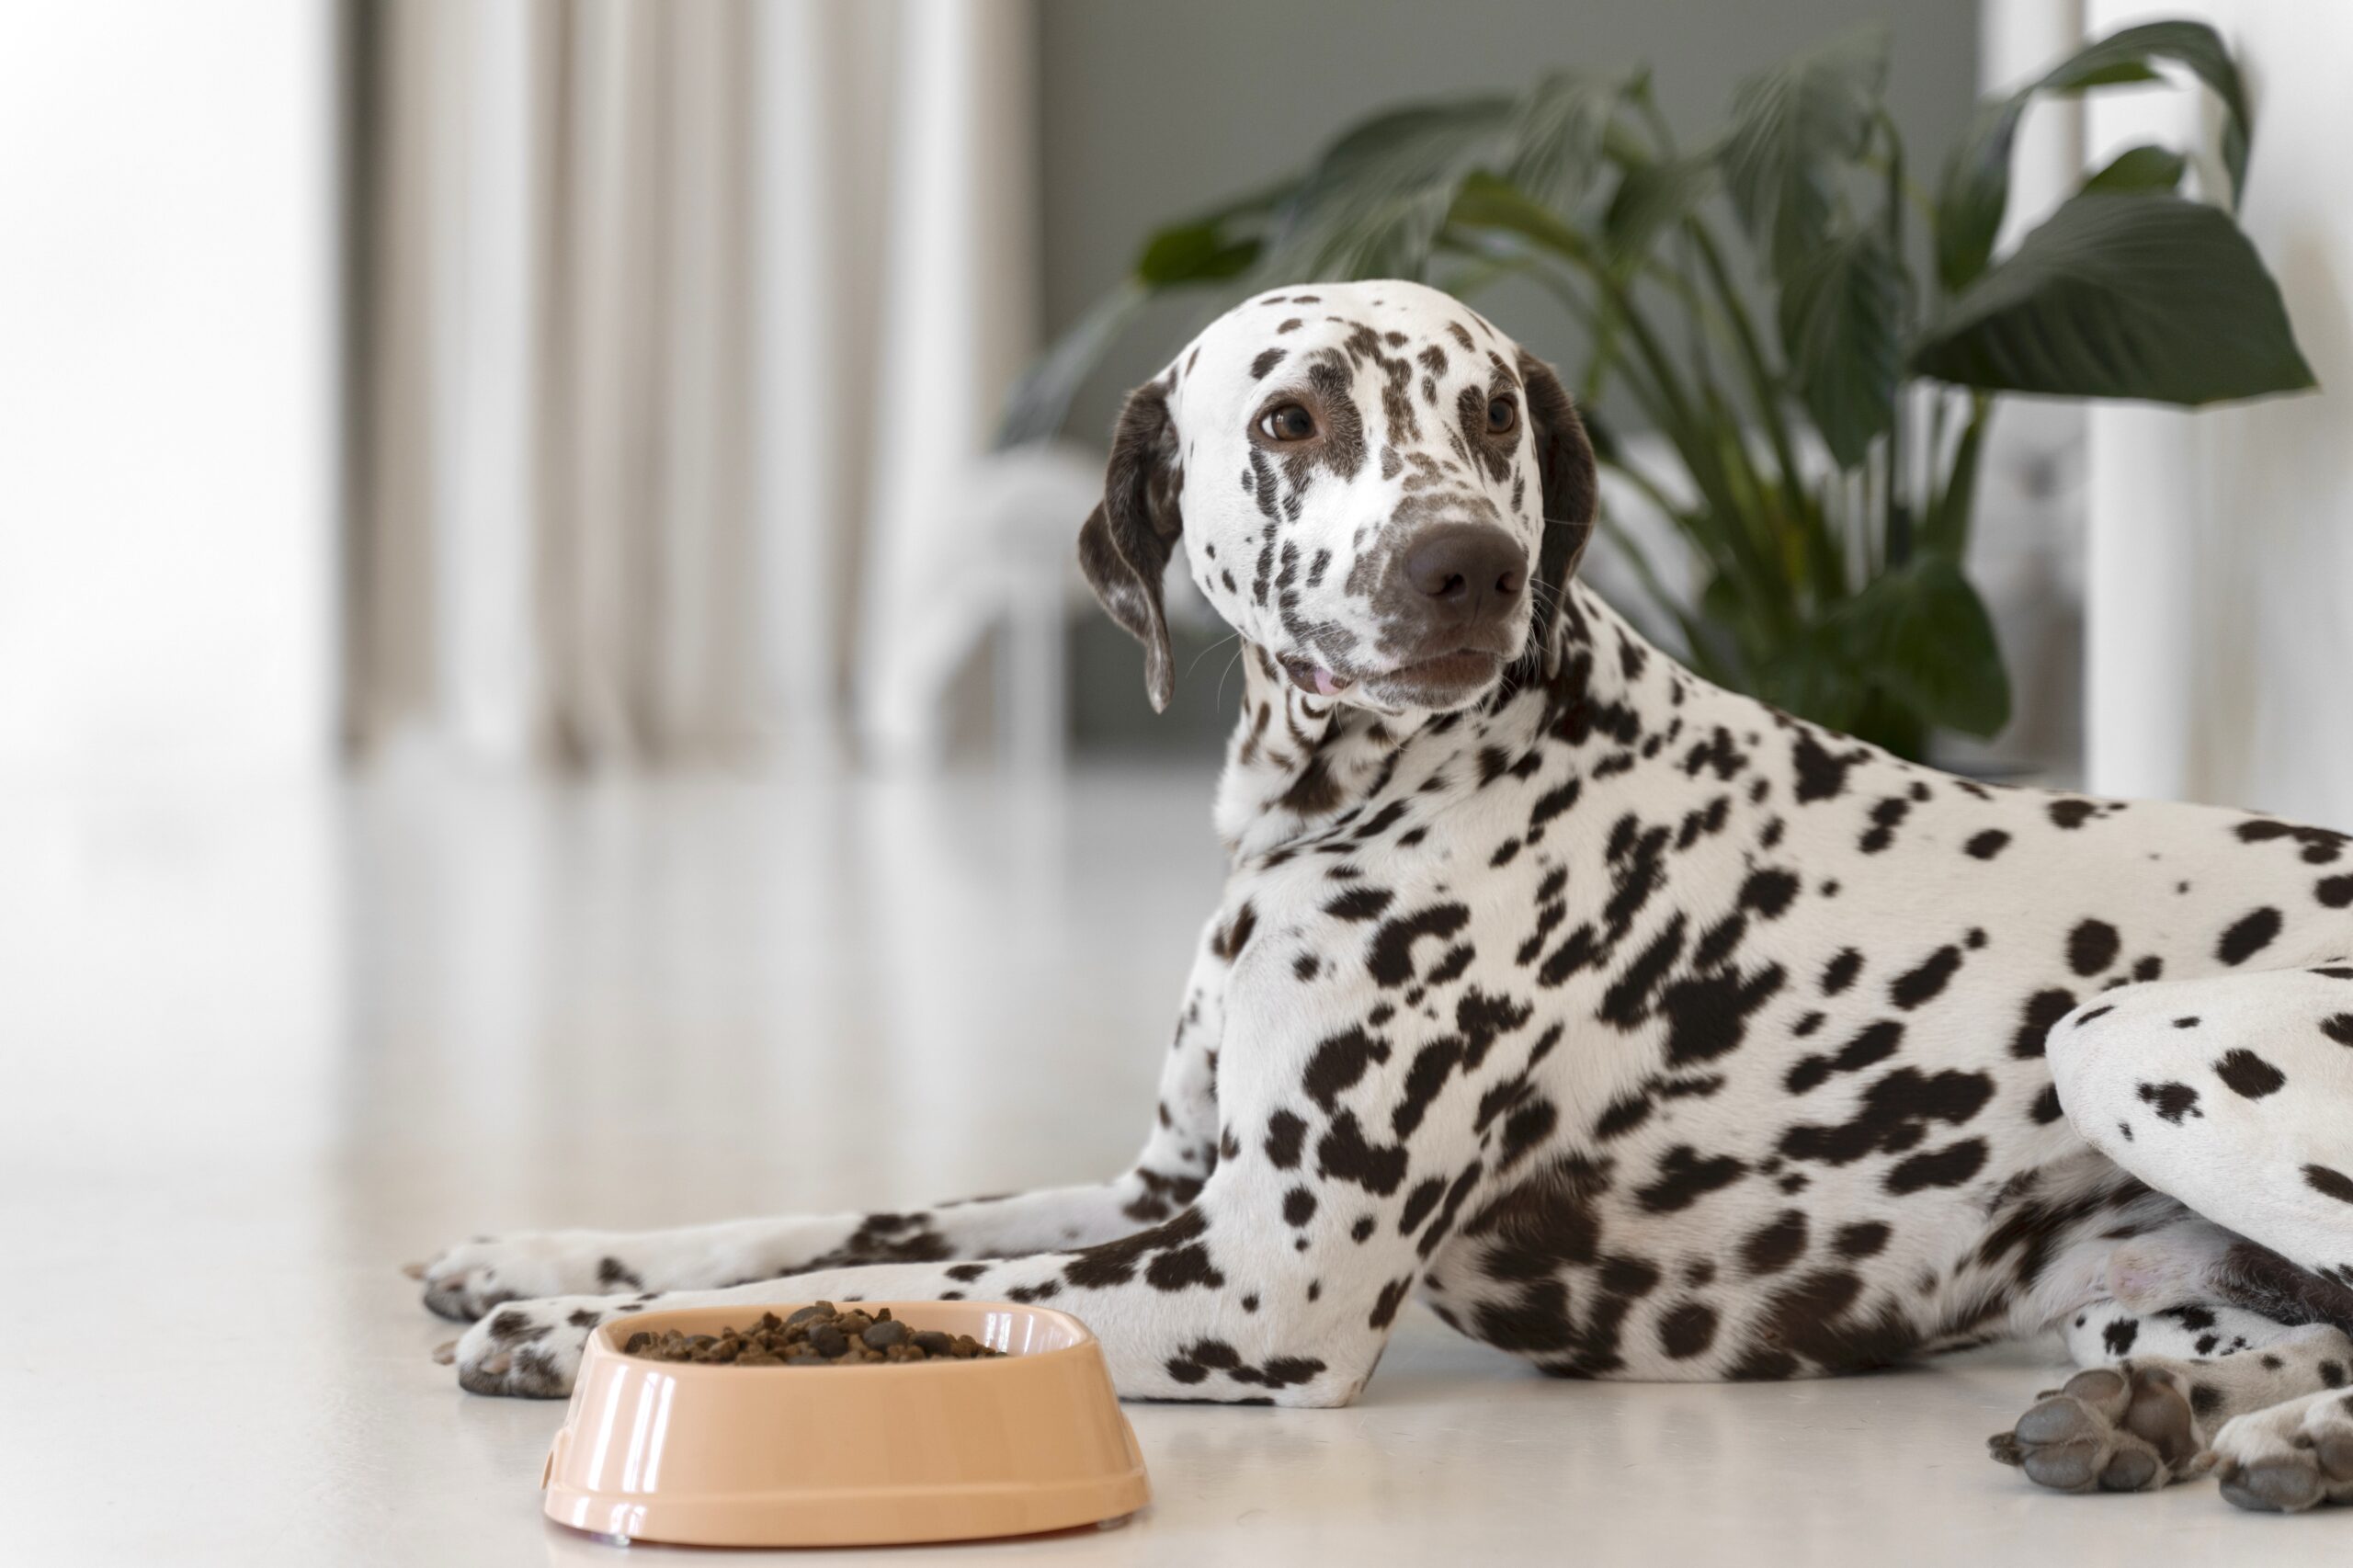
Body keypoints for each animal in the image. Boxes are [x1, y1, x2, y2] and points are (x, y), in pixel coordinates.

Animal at [414, 278, 2353, 1506]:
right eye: (1292, 415)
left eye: (1494, 413)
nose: (1467, 565)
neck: (1355, 809)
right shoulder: (1163, 1183)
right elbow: (834, 1225)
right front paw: (541, 1255)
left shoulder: (1261, 1272)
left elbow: (913, 1295)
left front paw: (584, 1329)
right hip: (2122, 1275)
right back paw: (2173, 1417)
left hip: (2128, 1037)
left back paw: (2277, 1447)